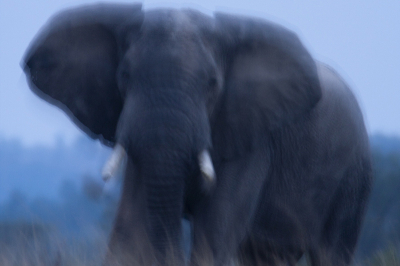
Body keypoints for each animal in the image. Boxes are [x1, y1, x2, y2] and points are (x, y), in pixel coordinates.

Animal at [21, 3, 372, 264]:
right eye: (125, 75)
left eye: (212, 84)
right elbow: (130, 228)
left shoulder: (251, 141)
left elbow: (212, 235)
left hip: (352, 178)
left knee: (330, 252)